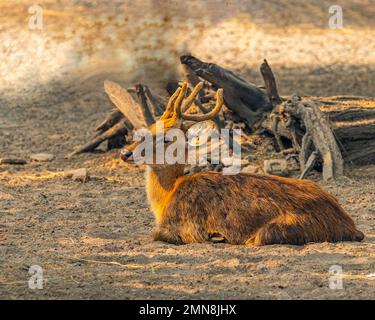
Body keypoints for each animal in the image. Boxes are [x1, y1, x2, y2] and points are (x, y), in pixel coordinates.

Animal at [117, 81, 364, 246]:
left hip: (275, 229)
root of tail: (349, 226)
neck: (167, 197)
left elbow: (154, 234)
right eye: (148, 128)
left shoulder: (184, 228)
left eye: (166, 138)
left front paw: (214, 235)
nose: (125, 153)